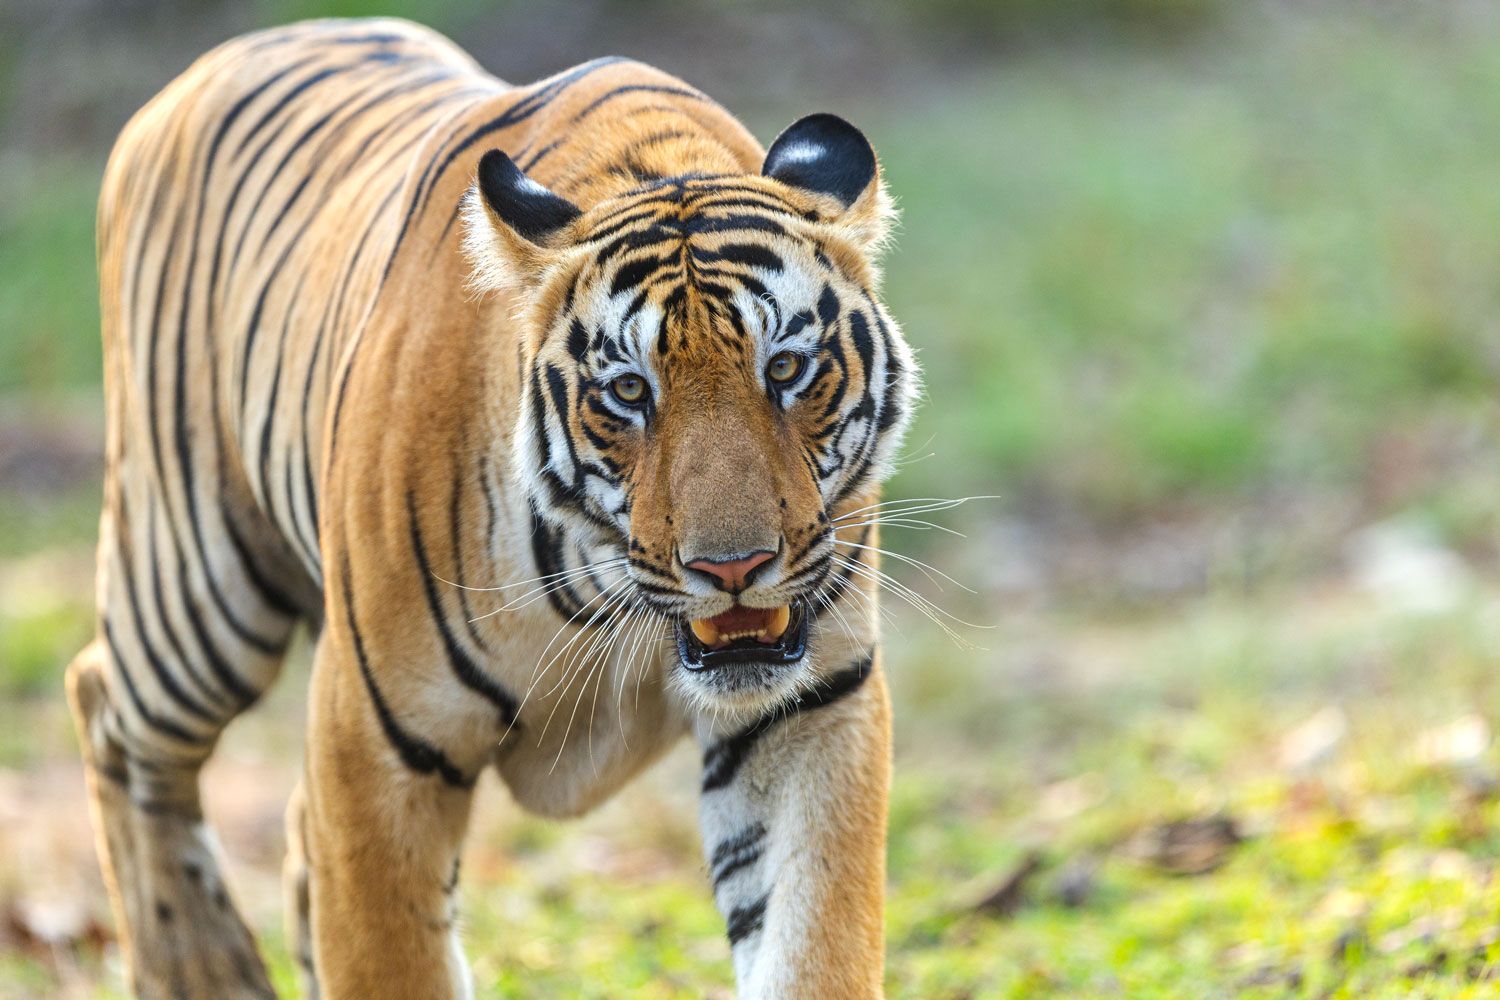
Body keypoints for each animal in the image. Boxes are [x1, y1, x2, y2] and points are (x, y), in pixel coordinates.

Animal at [67, 16, 917, 1000]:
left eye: (785, 369)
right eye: (630, 392)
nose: (732, 568)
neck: (603, 592)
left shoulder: (810, 708)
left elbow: (813, 947)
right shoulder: (374, 746)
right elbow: (389, 957)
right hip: (196, 583)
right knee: (110, 708)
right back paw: (206, 970)